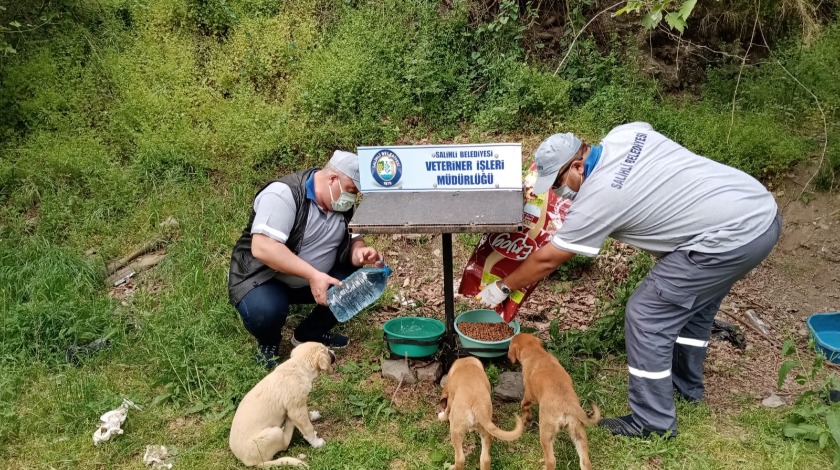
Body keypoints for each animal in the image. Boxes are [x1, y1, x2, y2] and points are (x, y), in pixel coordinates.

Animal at [508, 332, 600, 470]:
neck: (536, 352)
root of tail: (568, 406)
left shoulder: (529, 394)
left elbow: (523, 405)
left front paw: (526, 418)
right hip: (578, 433)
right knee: (585, 462)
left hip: (546, 433)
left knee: (551, 460)